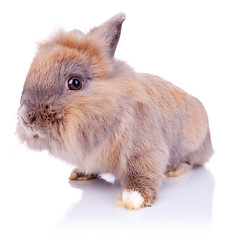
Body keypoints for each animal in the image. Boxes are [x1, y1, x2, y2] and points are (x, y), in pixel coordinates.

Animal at [16, 12, 214, 210]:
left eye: (75, 83)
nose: (27, 118)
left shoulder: (145, 149)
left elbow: (142, 169)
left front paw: (133, 198)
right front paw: (81, 173)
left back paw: (174, 169)